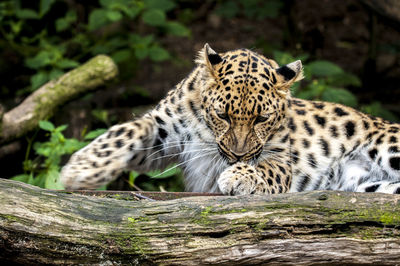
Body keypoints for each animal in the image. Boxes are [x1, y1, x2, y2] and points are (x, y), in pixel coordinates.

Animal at [59, 44, 400, 195]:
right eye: (222, 115)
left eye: (262, 119)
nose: (237, 155)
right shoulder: (163, 130)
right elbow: (127, 130)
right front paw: (82, 168)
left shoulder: (283, 159)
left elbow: (266, 168)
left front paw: (237, 177)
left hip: (387, 145)